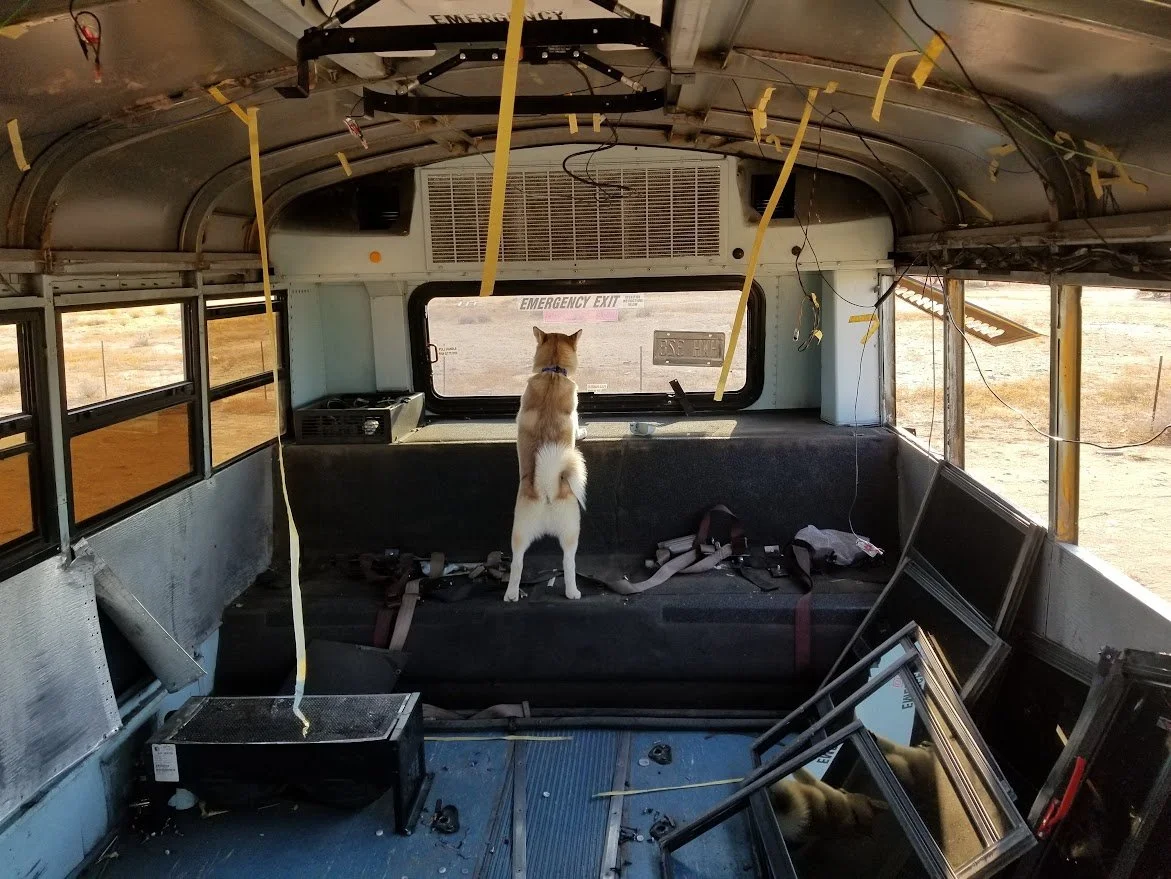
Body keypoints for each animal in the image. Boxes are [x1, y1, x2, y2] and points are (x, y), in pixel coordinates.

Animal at [503, 327, 587, 602]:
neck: (553, 372)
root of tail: (547, 489)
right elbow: (577, 426)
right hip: (573, 530)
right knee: (569, 563)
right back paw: (573, 592)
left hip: (520, 534)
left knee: (517, 564)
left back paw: (511, 594)